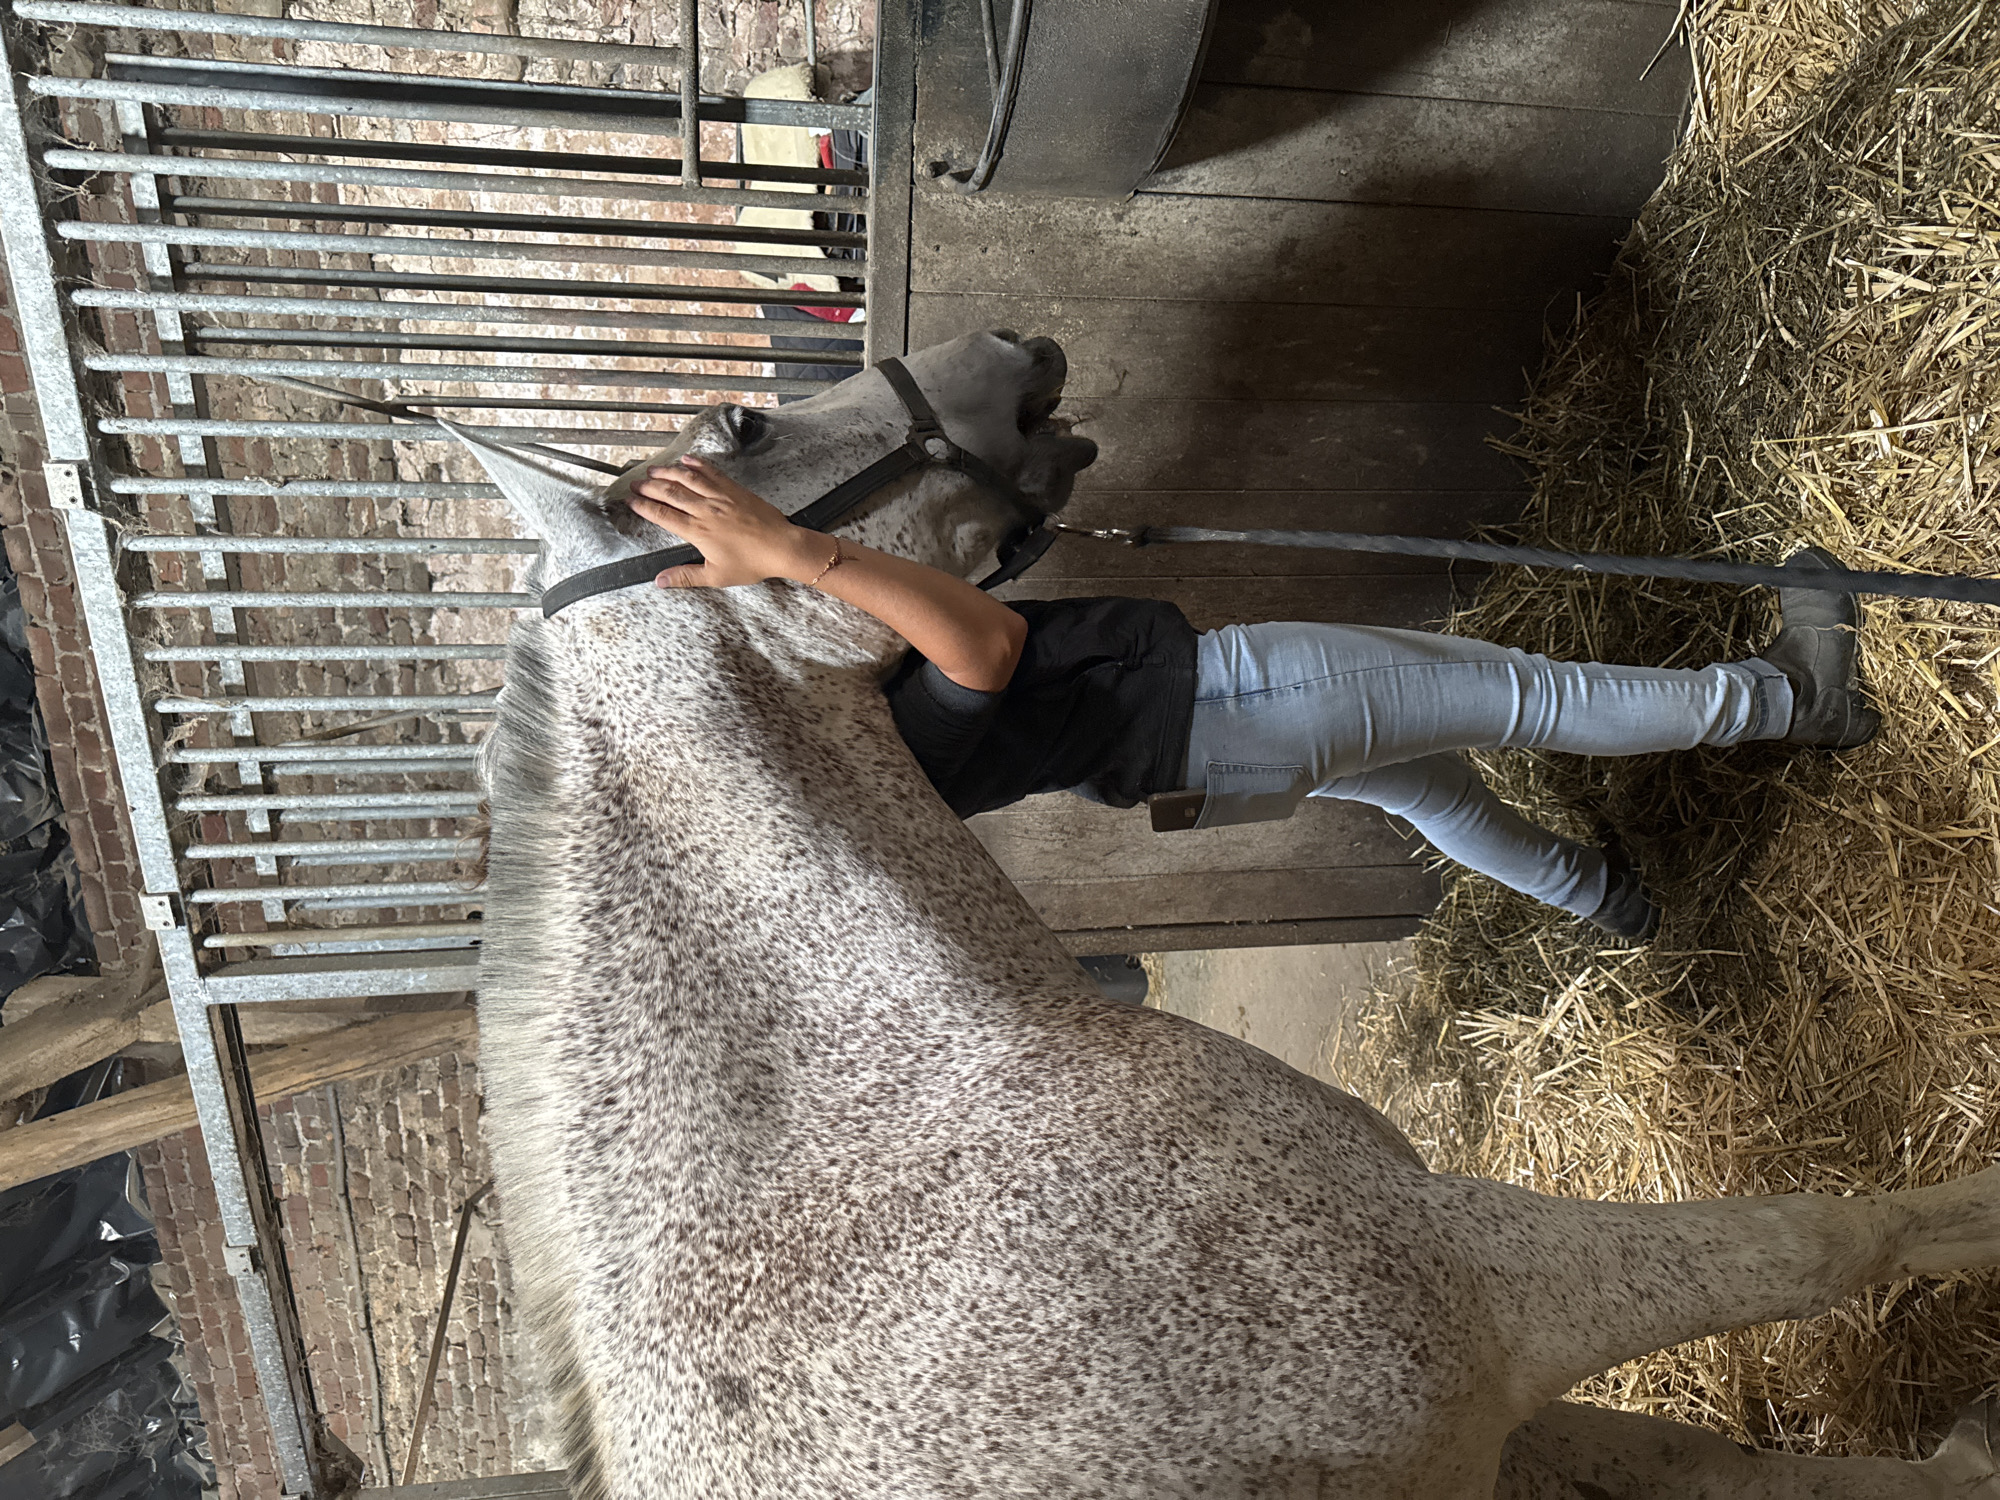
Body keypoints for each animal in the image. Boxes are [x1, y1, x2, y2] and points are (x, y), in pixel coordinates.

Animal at [456, 329, 2000, 1499]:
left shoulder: (1480, 1422)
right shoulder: (1481, 1291)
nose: (1011, 345)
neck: (891, 1101)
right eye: (744, 421)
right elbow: (1821, 1242)